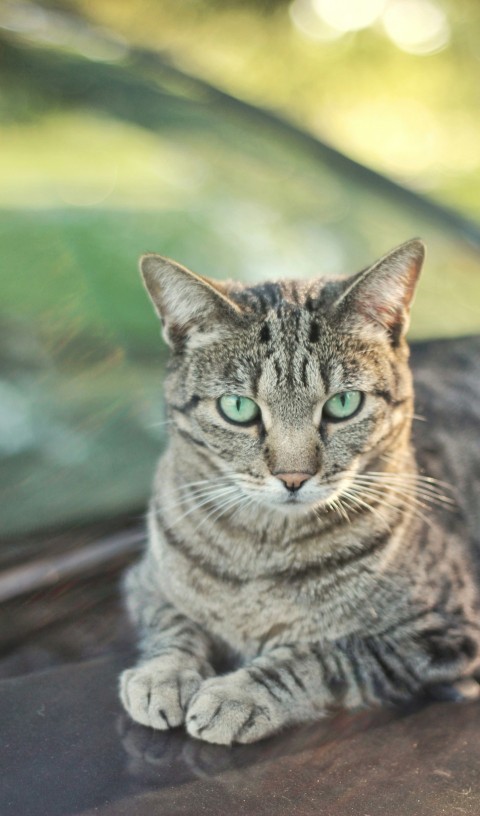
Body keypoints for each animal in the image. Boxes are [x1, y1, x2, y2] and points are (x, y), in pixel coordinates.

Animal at [117, 237, 480, 744]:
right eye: (238, 408)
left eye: (344, 403)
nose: (293, 477)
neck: (261, 547)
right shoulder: (143, 581)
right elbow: (171, 622)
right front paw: (162, 675)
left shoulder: (438, 635)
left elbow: (324, 658)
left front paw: (236, 695)